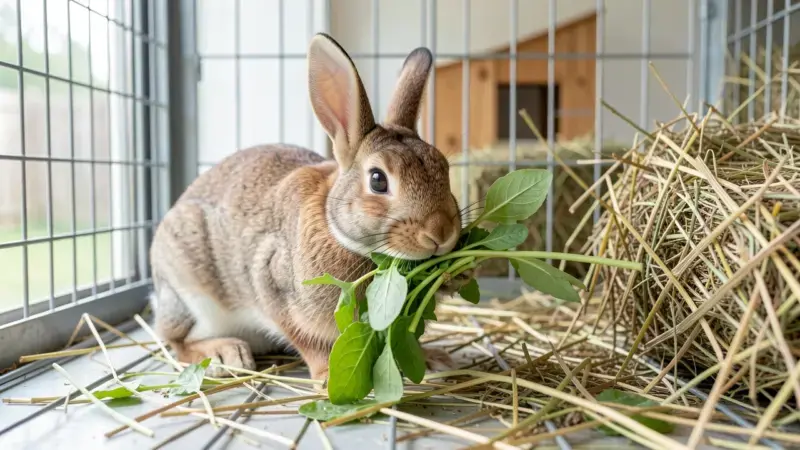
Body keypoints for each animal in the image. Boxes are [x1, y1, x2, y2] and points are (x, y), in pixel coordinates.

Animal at [149, 33, 470, 383]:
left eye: (444, 168)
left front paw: (434, 357)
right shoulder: (272, 284)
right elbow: (306, 339)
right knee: (176, 341)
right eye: (378, 180)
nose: (441, 233)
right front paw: (327, 374)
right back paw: (225, 353)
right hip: (191, 295)